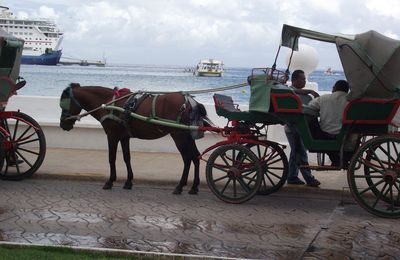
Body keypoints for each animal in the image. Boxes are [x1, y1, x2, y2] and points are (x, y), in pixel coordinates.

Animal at [60, 82, 209, 194]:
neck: (109, 103)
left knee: (187, 158)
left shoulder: (112, 135)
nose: (63, 124)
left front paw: (110, 181)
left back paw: (180, 186)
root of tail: (191, 102)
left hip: (179, 135)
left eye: (63, 104)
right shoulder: (124, 137)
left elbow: (111, 158)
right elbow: (127, 157)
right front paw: (128, 181)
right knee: (195, 156)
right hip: (187, 136)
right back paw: (194, 187)